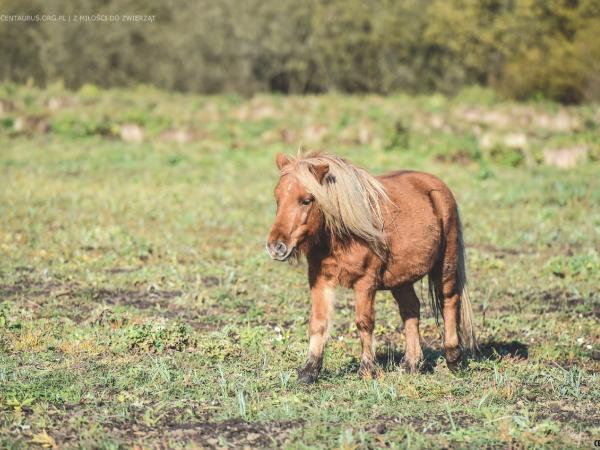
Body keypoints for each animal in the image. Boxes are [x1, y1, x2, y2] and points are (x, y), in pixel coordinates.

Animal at [264, 152, 476, 384]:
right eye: (277, 197)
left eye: (306, 200)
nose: (276, 247)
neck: (341, 236)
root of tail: (437, 185)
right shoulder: (319, 279)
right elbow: (318, 323)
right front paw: (309, 371)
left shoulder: (365, 283)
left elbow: (364, 323)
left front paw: (366, 369)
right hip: (402, 279)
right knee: (411, 310)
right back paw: (411, 364)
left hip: (445, 264)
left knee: (449, 300)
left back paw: (453, 357)